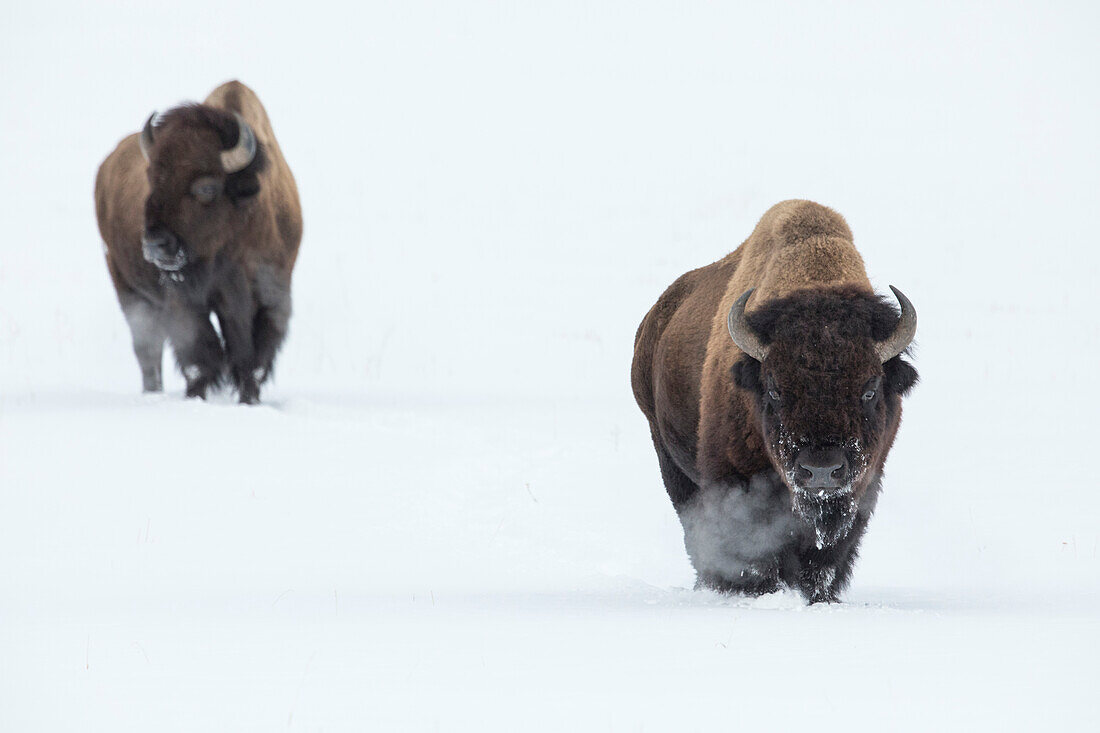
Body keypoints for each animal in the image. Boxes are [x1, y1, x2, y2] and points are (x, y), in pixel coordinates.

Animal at [93, 81, 301, 402]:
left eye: (206, 187)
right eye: (152, 177)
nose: (154, 244)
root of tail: (107, 164)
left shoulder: (272, 294)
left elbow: (252, 360)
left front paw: (249, 400)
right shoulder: (185, 301)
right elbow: (200, 356)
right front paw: (196, 396)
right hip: (128, 288)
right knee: (148, 350)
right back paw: (152, 394)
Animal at [633, 198, 915, 598]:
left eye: (870, 389)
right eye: (775, 389)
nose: (821, 470)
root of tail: (654, 320)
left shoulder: (862, 488)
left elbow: (825, 559)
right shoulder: (733, 480)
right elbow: (753, 552)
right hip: (668, 457)